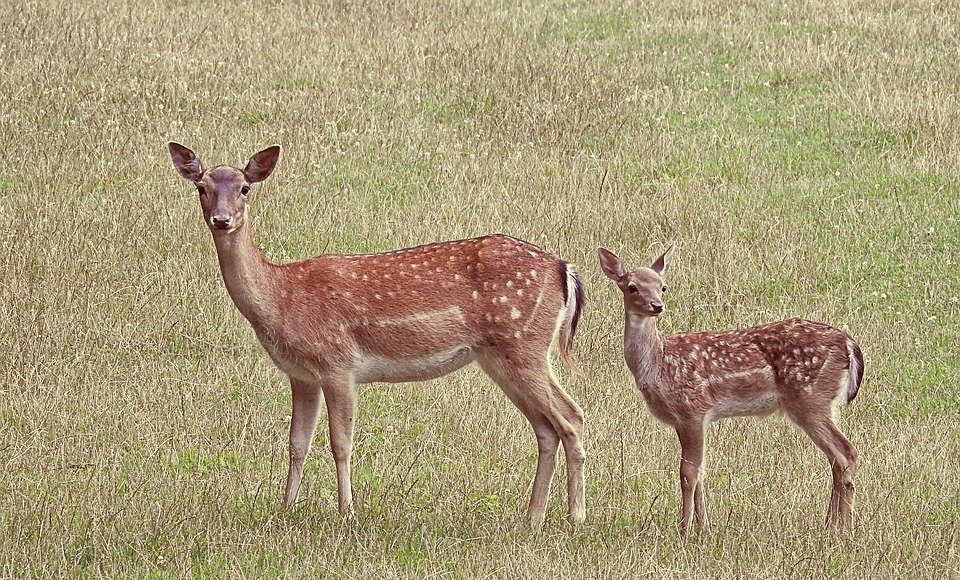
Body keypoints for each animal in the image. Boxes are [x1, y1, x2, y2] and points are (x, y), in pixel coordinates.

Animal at [167, 142, 588, 527]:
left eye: (244, 188)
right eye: (201, 187)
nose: (222, 219)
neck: (282, 297)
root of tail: (563, 269)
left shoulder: (338, 363)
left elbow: (340, 443)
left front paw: (347, 514)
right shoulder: (301, 374)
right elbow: (296, 443)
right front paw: (285, 510)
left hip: (525, 343)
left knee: (571, 416)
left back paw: (575, 516)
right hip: (501, 356)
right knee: (546, 428)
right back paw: (532, 518)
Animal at [597, 245, 864, 539]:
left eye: (662, 286)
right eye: (632, 287)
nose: (657, 305)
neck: (658, 361)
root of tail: (848, 342)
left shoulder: (693, 409)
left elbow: (687, 473)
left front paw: (685, 531)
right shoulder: (685, 420)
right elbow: (700, 472)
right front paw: (704, 527)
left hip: (810, 399)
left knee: (846, 453)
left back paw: (844, 528)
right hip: (820, 403)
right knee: (836, 459)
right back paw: (830, 524)